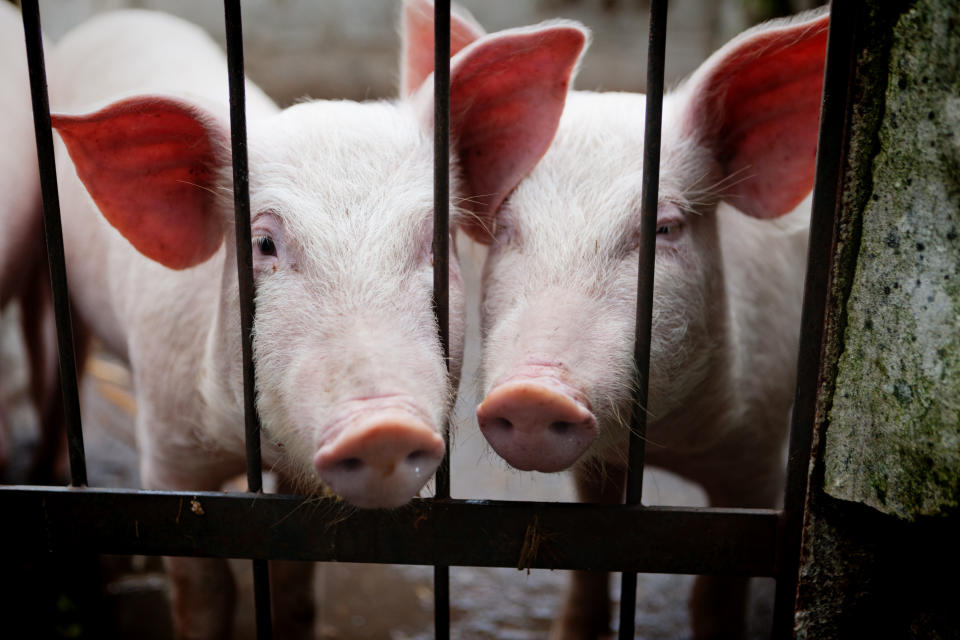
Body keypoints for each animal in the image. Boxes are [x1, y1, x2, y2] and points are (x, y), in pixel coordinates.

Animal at [48, 7, 588, 636]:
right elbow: (202, 594)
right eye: (262, 242)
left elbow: (295, 586)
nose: (383, 427)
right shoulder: (166, 451)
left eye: (436, 242)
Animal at [412, 6, 824, 640]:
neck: (667, 443)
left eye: (665, 227)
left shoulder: (759, 454)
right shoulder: (597, 470)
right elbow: (591, 565)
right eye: (504, 226)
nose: (534, 392)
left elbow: (716, 597)